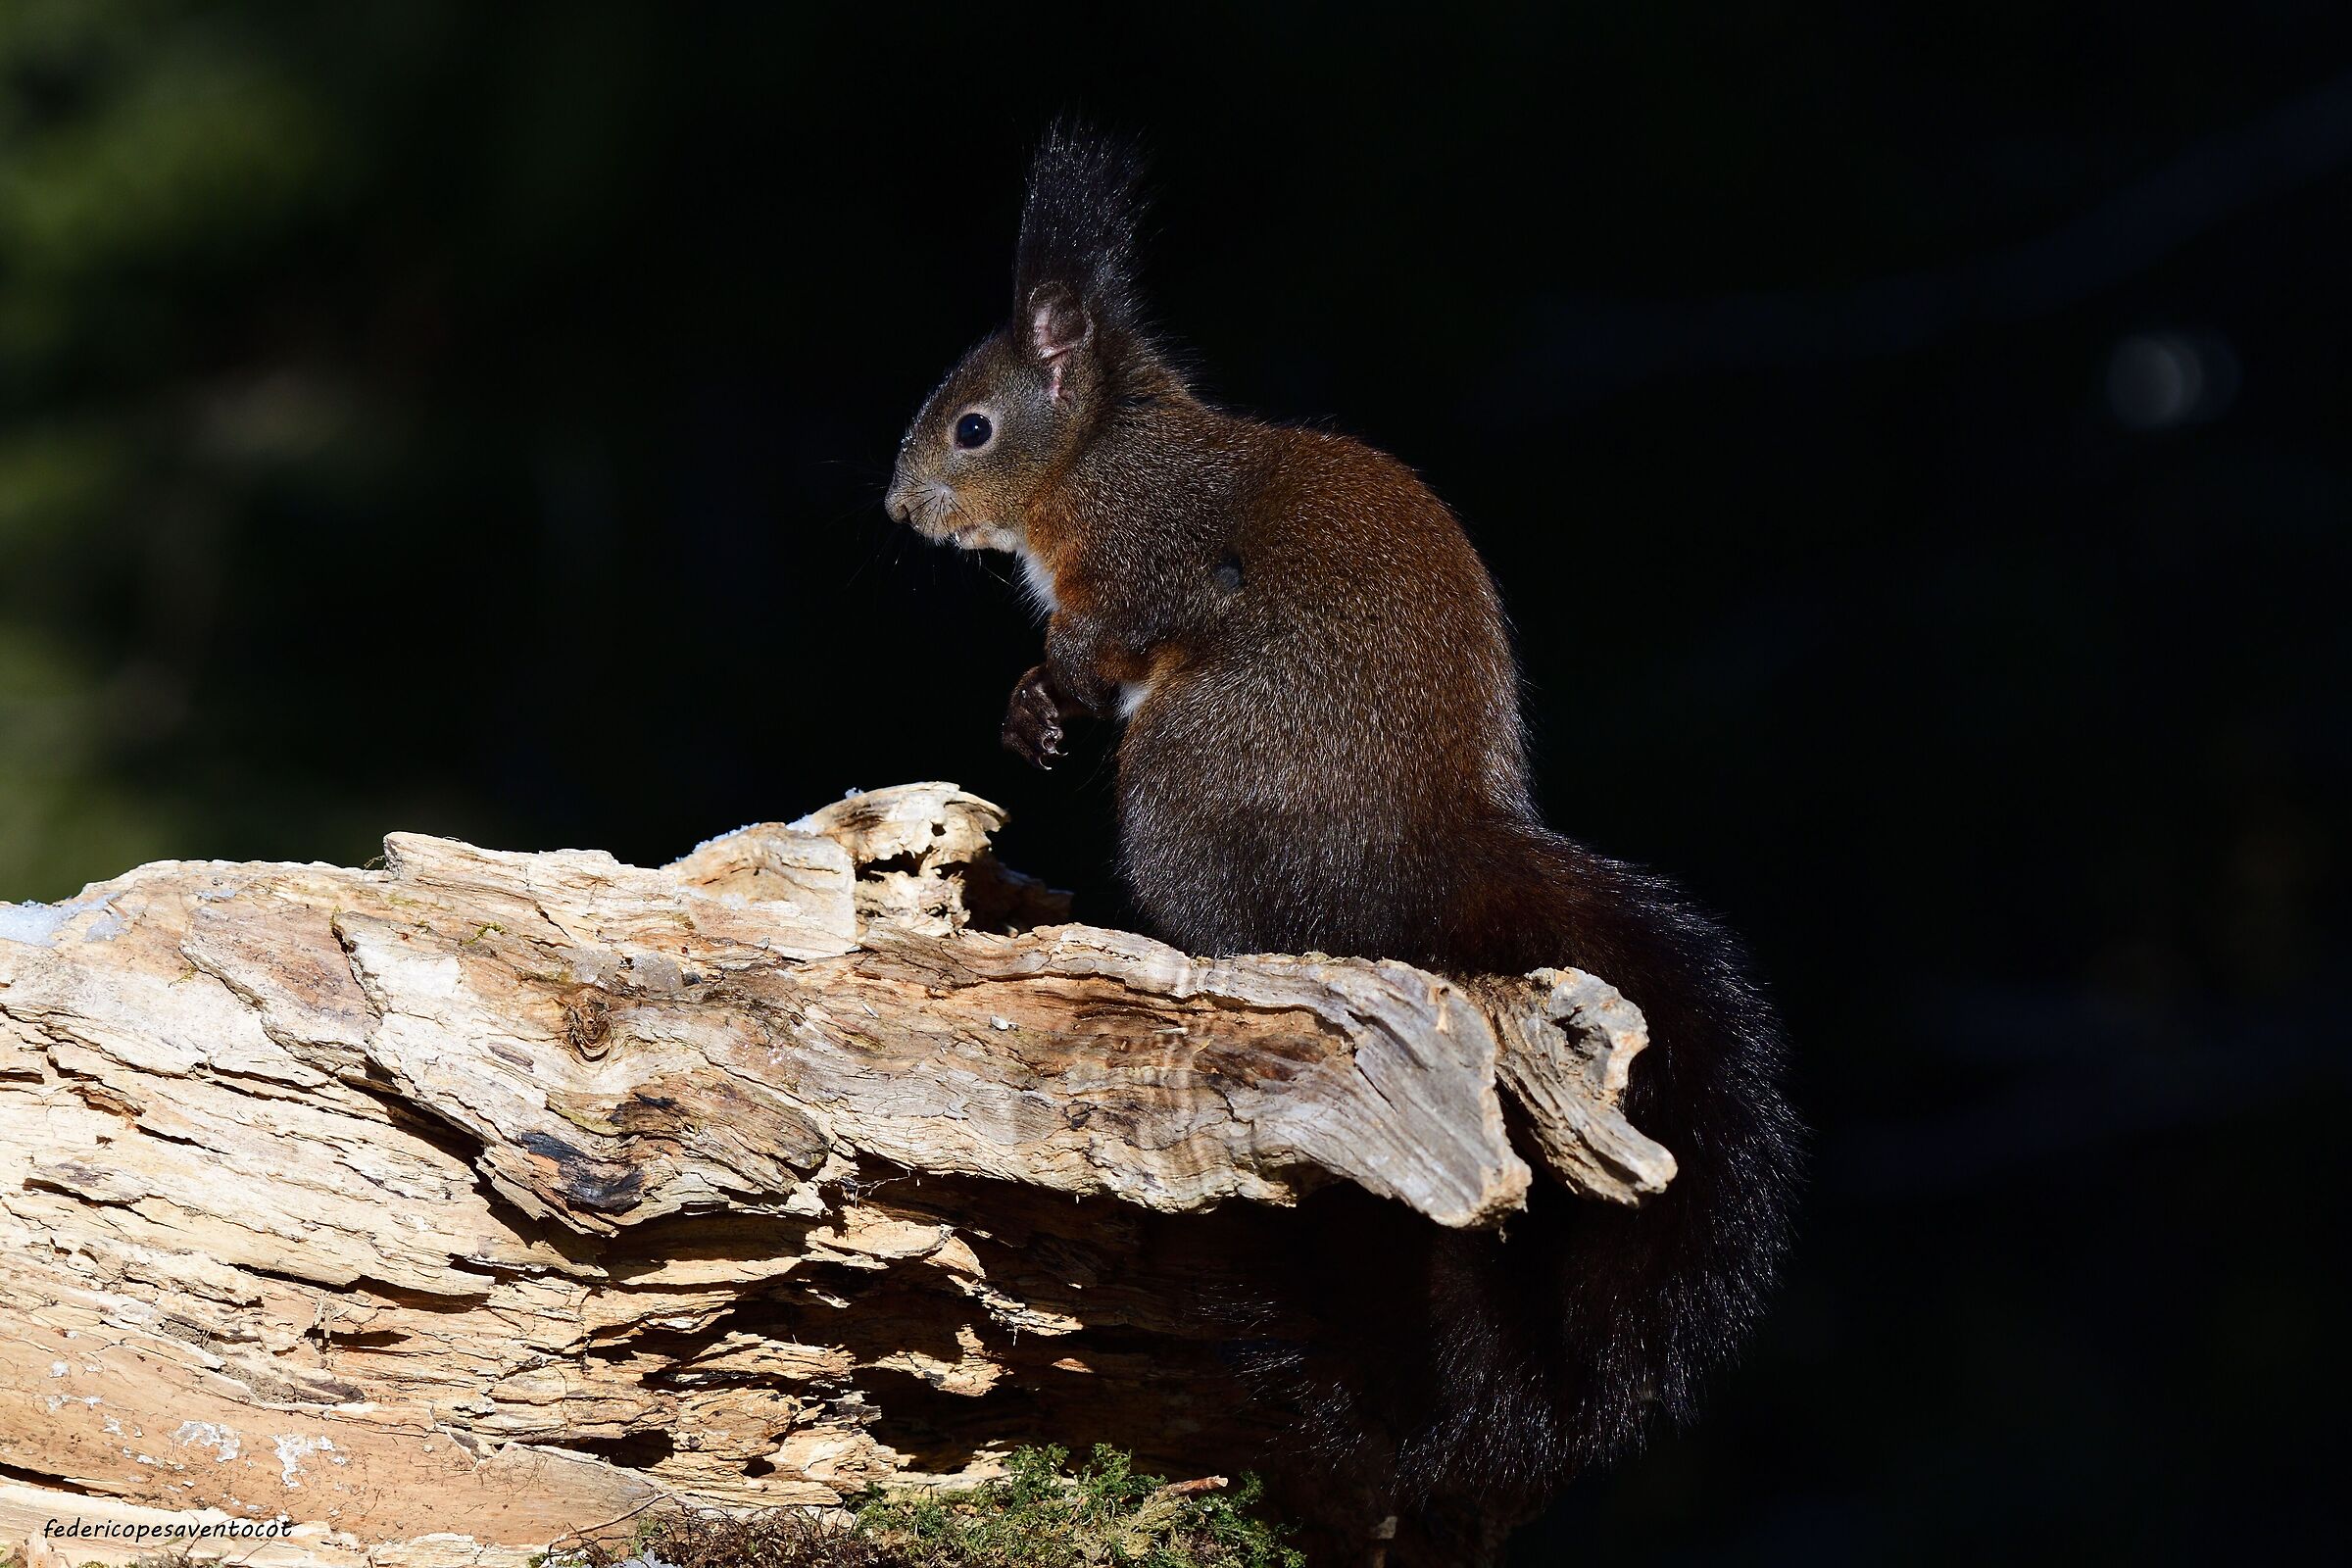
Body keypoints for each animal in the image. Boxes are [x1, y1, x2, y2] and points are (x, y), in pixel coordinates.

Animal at [885, 126, 1801, 1565]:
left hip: (1191, 775)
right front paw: (1026, 713)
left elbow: (1118, 630)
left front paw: (1048, 687)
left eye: (972, 425)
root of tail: (1433, 851)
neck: (1095, 458)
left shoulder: (1150, 556)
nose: (899, 505)